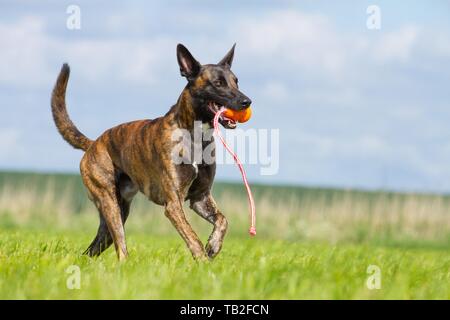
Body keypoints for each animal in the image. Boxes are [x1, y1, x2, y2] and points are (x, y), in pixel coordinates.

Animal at [51, 43, 253, 262]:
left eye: (236, 81)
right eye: (218, 83)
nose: (247, 101)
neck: (194, 136)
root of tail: (93, 143)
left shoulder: (200, 198)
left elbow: (223, 220)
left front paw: (213, 246)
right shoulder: (173, 205)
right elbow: (193, 238)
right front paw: (203, 261)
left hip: (117, 211)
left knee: (93, 248)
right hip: (109, 203)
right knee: (120, 246)